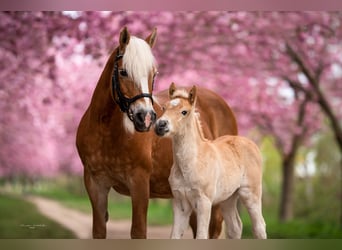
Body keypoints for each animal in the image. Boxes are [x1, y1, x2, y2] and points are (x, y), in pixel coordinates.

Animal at [75, 27, 238, 238]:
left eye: (154, 74)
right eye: (123, 72)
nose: (145, 117)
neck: (106, 134)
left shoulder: (139, 184)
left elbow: (138, 231)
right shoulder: (95, 185)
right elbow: (99, 231)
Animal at [154, 83, 268, 238]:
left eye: (184, 112)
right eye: (164, 108)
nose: (160, 125)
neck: (192, 163)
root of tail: (251, 143)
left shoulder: (204, 202)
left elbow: (202, 235)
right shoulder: (180, 203)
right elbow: (175, 236)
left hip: (251, 193)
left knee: (259, 226)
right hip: (228, 198)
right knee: (235, 227)